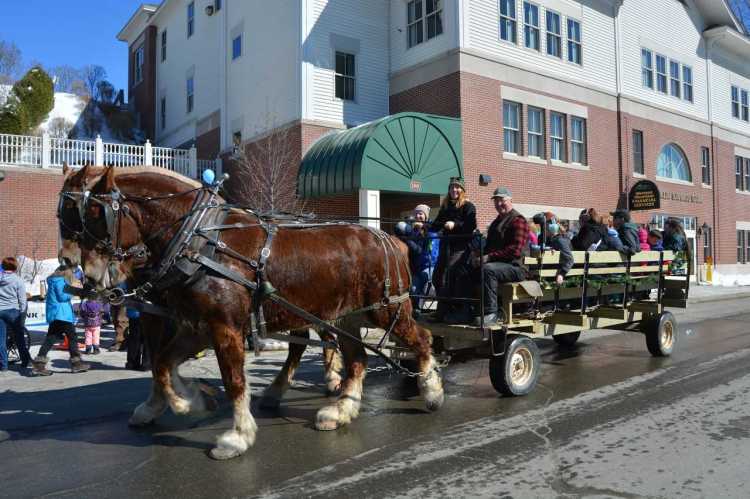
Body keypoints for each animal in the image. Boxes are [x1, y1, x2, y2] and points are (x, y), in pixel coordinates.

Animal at [70, 167, 444, 460]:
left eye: (94, 215)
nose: (89, 278)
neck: (197, 241)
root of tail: (390, 239)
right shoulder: (196, 327)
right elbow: (161, 364)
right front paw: (190, 402)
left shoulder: (223, 327)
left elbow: (233, 380)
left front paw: (236, 437)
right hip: (347, 317)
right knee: (357, 360)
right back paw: (340, 410)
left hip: (385, 310)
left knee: (422, 338)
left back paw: (431, 391)